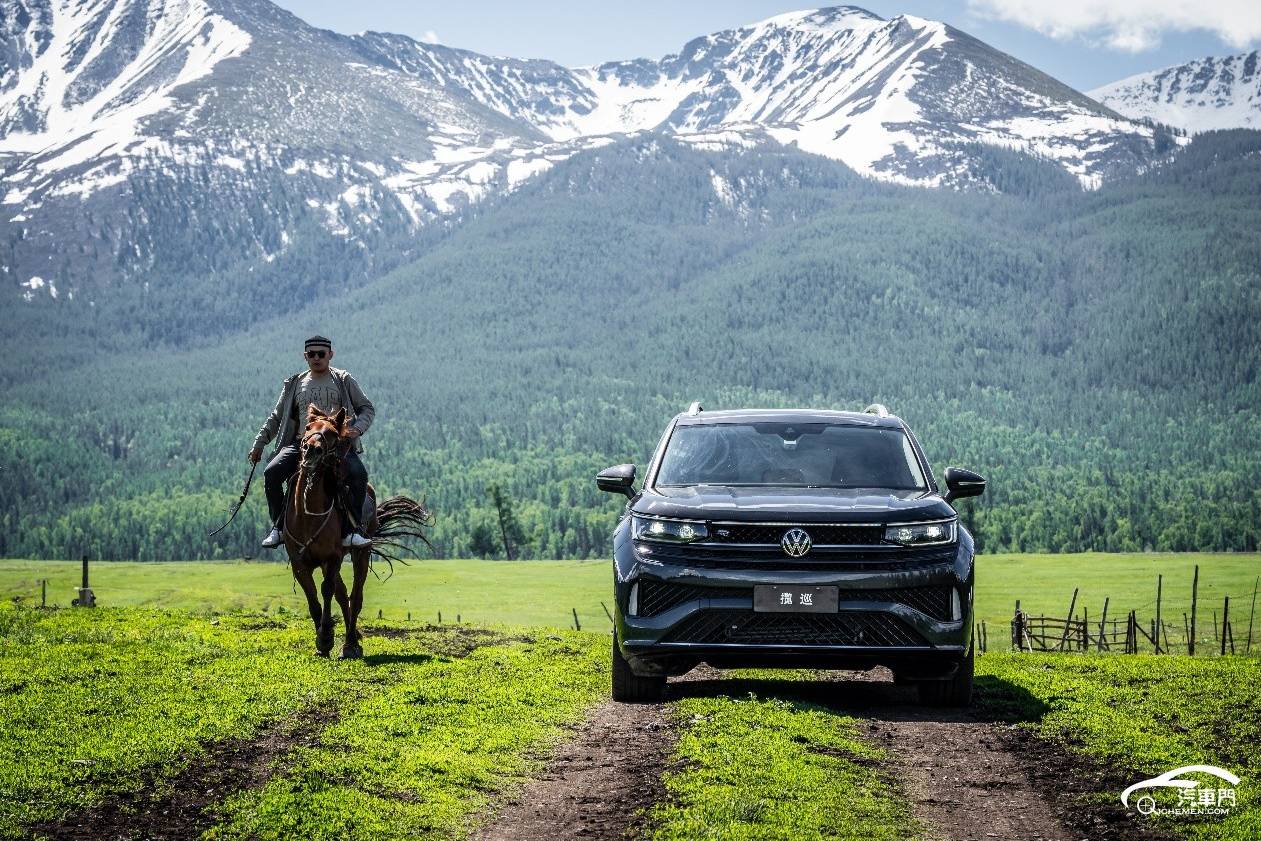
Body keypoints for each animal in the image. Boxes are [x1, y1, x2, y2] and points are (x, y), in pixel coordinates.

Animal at [283, 403, 431, 655]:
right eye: (308, 427)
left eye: (333, 433)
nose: (311, 450)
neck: (308, 515)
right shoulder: (299, 563)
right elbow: (313, 597)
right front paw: (322, 640)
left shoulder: (332, 557)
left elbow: (327, 590)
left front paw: (326, 636)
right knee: (343, 596)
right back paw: (351, 639)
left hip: (360, 553)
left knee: (355, 595)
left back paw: (351, 643)